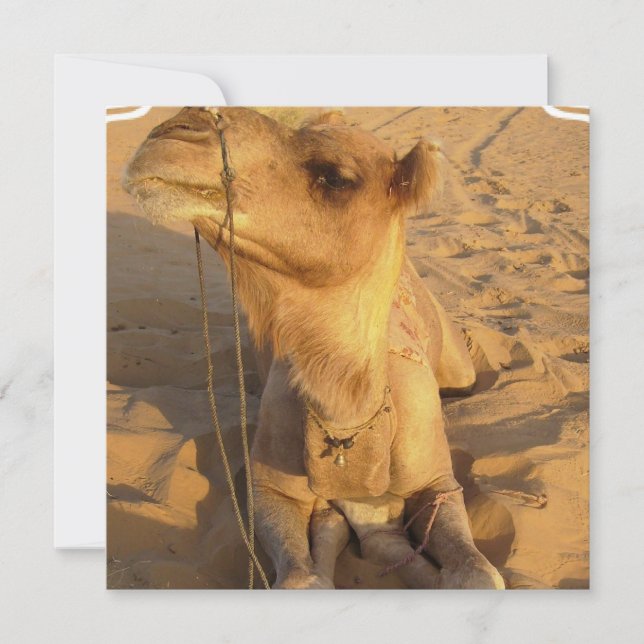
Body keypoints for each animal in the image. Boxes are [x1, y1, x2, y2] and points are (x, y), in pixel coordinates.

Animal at [124, 107, 504, 589]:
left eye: (337, 177)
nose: (172, 130)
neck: (349, 421)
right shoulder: (268, 485)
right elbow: (302, 574)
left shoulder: (437, 481)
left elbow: (477, 572)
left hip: (457, 366)